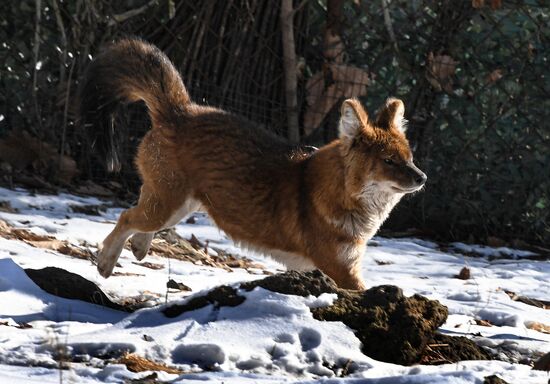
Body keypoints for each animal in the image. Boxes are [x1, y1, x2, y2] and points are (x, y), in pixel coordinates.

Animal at [80, 39, 430, 292]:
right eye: (388, 161)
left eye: (410, 158)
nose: (422, 178)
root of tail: (180, 110)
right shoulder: (342, 270)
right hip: (168, 206)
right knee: (126, 217)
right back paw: (106, 263)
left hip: (180, 205)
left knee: (138, 212)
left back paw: (139, 247)